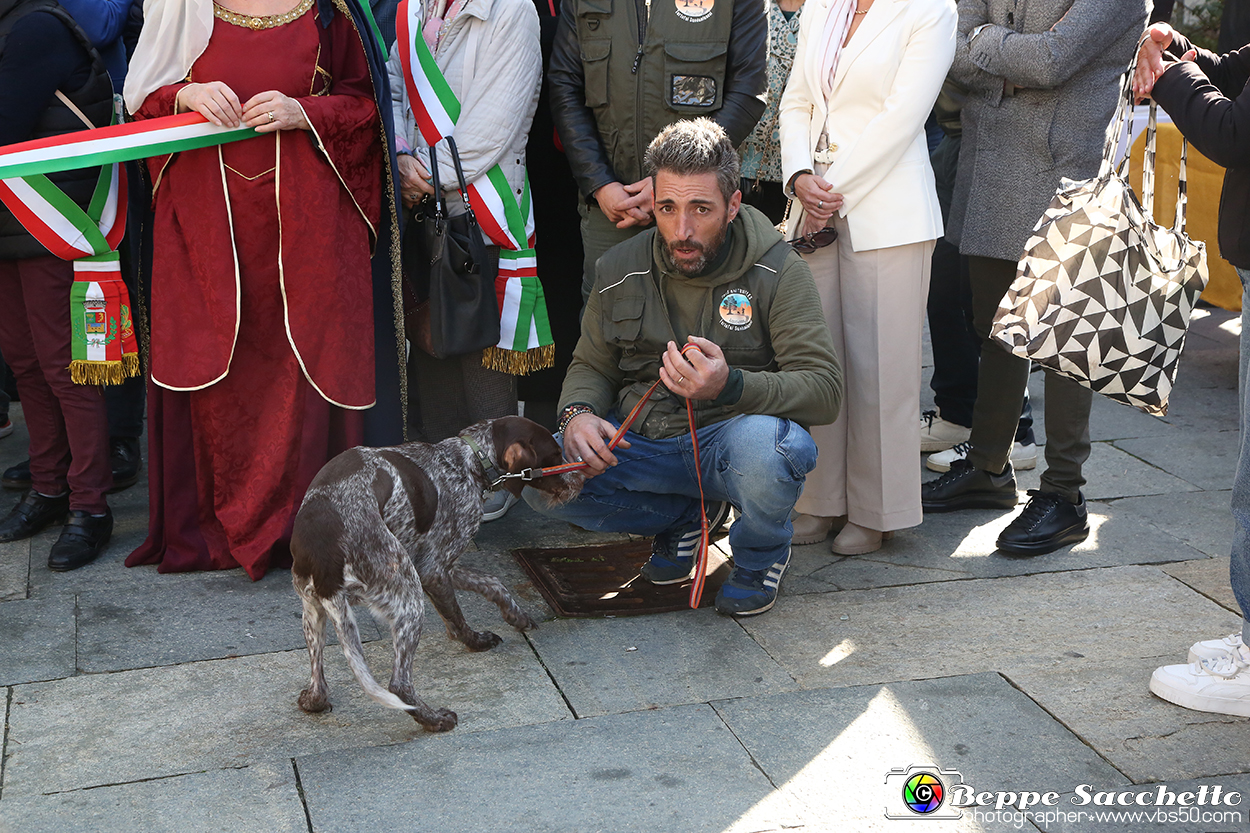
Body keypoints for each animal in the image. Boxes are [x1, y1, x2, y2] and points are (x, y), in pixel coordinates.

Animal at [290, 412, 582, 725]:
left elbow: (492, 583)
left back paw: (314, 700)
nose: (580, 478)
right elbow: (458, 616)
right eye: (555, 455)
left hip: (314, 609)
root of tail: (324, 547)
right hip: (407, 597)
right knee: (399, 685)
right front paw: (475, 641)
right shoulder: (434, 569)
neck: (470, 458)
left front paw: (515, 615)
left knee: (318, 679)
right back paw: (434, 720)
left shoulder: (435, 566)